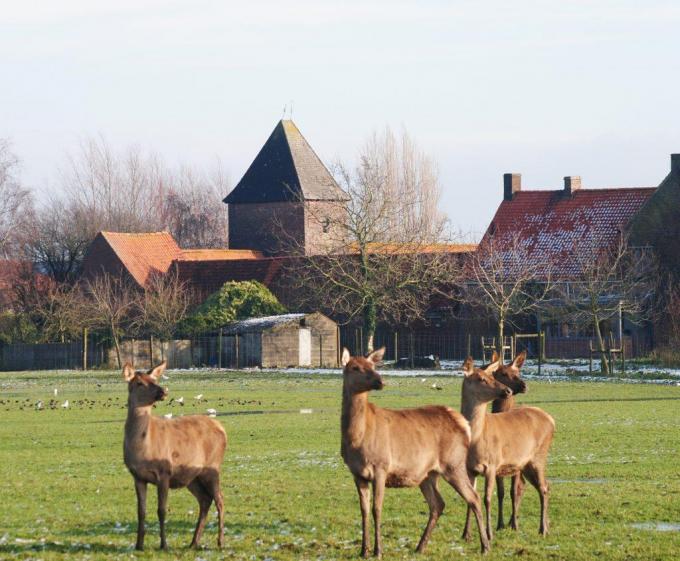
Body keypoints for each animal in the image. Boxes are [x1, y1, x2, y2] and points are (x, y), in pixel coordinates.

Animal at [123, 360, 228, 548]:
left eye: (154, 379)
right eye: (139, 383)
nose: (163, 391)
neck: (142, 448)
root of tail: (222, 428)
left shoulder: (164, 471)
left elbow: (161, 510)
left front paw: (164, 545)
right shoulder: (137, 476)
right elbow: (141, 511)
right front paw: (139, 545)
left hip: (213, 467)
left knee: (220, 499)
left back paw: (220, 541)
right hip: (193, 476)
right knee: (205, 499)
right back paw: (193, 542)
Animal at [340, 346, 488, 556]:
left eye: (372, 365)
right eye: (354, 367)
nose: (380, 380)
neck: (356, 438)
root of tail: (463, 424)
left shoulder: (381, 466)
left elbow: (377, 508)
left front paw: (378, 551)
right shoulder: (356, 473)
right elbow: (364, 510)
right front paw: (363, 550)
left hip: (454, 464)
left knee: (473, 498)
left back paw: (485, 546)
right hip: (428, 473)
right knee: (438, 504)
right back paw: (420, 546)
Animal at [460, 354, 556, 544]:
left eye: (491, 376)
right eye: (481, 378)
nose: (507, 391)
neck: (476, 440)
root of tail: (551, 420)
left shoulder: (492, 465)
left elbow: (487, 498)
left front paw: (489, 534)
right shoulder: (469, 469)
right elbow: (470, 498)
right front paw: (466, 534)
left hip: (539, 456)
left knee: (543, 487)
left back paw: (543, 529)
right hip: (525, 465)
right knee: (544, 486)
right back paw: (546, 527)